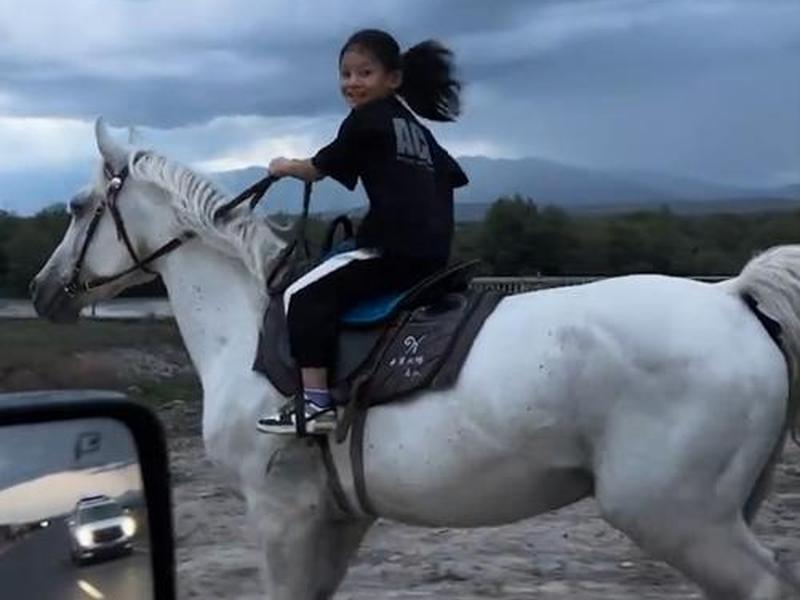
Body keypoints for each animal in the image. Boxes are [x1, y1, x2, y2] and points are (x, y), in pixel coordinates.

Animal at [30, 118, 800, 599]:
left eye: (75, 205)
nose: (42, 291)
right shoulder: (335, 519)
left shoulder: (281, 516)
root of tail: (732, 296)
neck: (243, 333)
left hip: (679, 517)